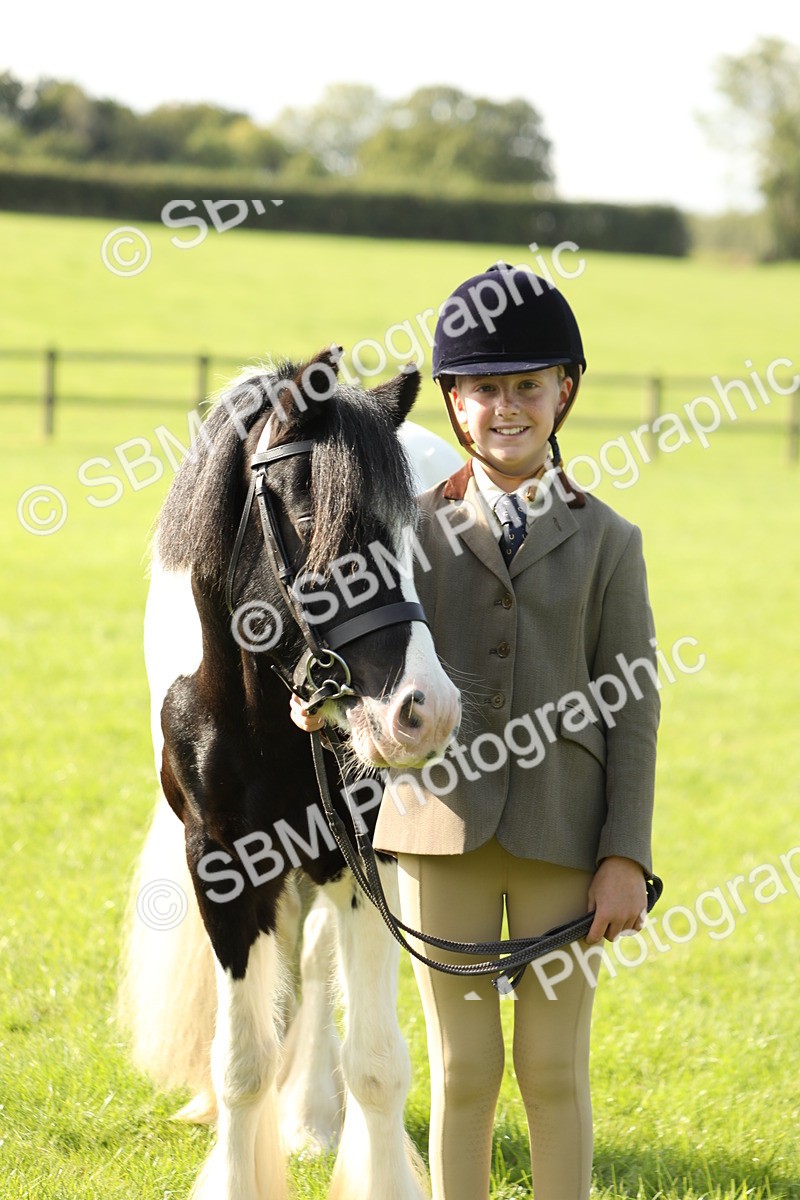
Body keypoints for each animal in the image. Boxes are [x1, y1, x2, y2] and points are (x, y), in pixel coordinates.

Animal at [120, 346, 463, 1200]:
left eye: (412, 537)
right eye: (314, 522)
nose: (425, 710)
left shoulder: (365, 854)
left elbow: (375, 1064)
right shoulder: (220, 863)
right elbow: (242, 1062)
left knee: (316, 962)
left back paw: (312, 1117)